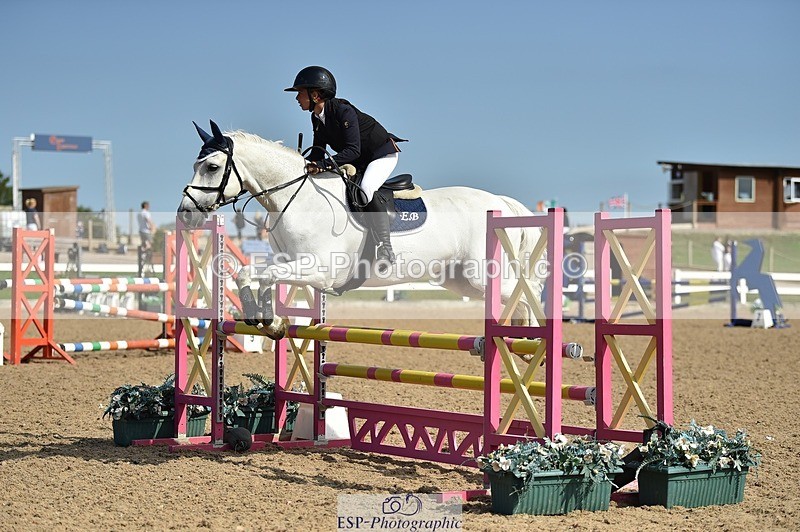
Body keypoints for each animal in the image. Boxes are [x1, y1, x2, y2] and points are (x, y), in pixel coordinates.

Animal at [178, 121, 544, 339]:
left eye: (212, 167)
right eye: (196, 164)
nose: (185, 215)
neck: (299, 196)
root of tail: (499, 201)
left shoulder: (321, 270)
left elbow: (266, 276)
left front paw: (269, 319)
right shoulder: (292, 264)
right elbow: (248, 273)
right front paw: (266, 319)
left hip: (480, 274)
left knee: (525, 291)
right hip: (459, 279)